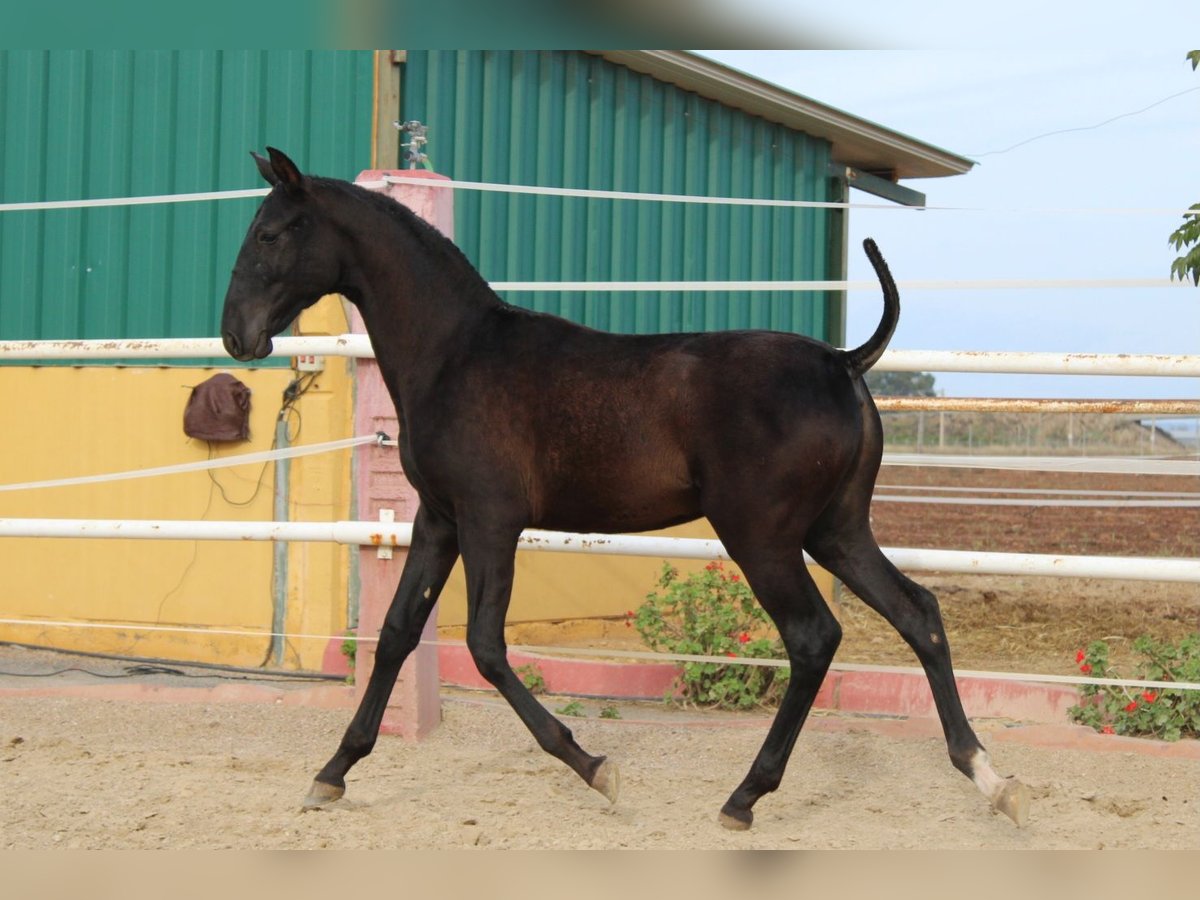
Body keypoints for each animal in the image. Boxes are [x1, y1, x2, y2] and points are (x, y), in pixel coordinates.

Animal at [220, 148, 1027, 830]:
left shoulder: (490, 520)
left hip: (762, 535)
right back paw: (988, 777)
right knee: (917, 613)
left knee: (812, 637)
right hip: (837, 530)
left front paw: (595, 768)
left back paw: (745, 796)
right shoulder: (439, 520)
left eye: (270, 232)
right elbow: (394, 634)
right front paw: (331, 773)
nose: (236, 336)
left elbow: (484, 646)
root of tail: (843, 362)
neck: (456, 353)